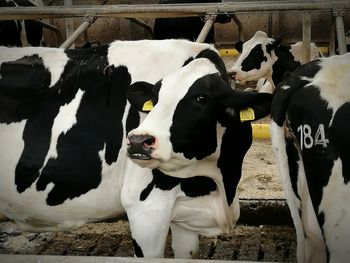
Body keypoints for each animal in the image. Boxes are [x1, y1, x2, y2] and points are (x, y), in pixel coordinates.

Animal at [0, 39, 270, 258]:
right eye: (156, 98)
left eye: (201, 98)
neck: (220, 186)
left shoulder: (184, 214)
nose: (138, 141)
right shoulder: (146, 208)